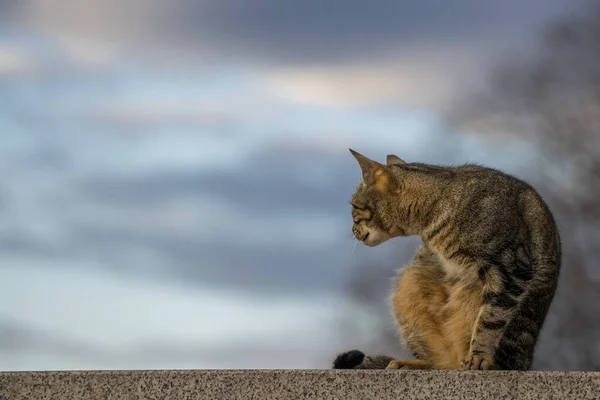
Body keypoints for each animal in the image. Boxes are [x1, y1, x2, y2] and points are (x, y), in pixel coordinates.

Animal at [336, 148, 560, 370]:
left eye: (353, 206)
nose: (352, 230)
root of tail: (527, 362)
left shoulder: (511, 269)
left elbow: (489, 321)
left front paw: (479, 357)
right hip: (410, 280)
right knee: (440, 363)